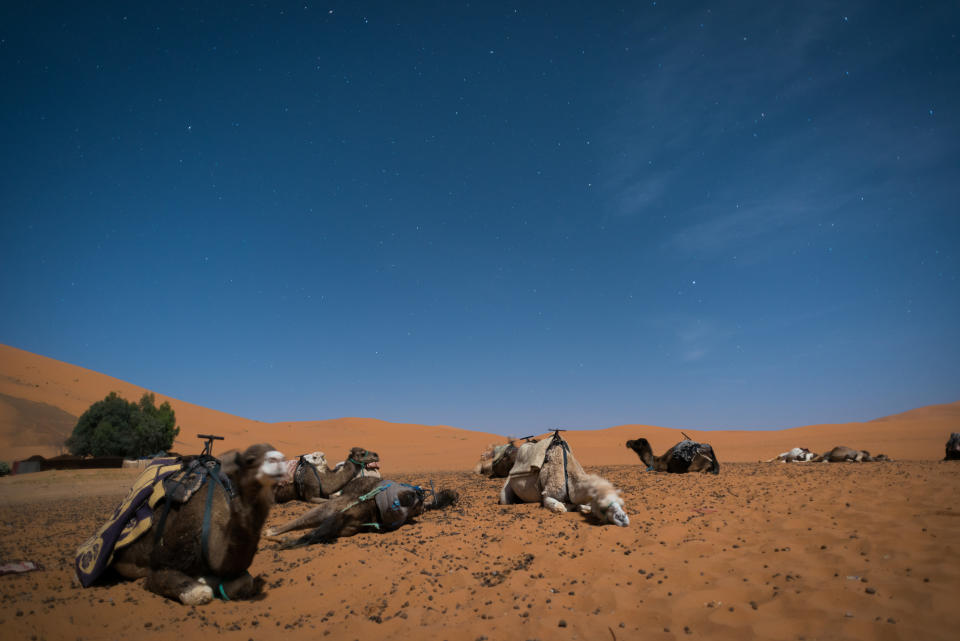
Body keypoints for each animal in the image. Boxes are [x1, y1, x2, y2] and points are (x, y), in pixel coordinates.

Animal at [95, 442, 286, 604]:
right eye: (250, 459)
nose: (279, 459)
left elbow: (245, 582)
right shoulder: (161, 564)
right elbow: (199, 592)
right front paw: (201, 583)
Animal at [262, 472, 458, 548]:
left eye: (418, 509)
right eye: (412, 495)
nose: (417, 495)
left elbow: (314, 535)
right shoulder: (339, 512)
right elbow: (311, 534)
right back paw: (272, 532)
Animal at [498, 430, 628, 524]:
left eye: (621, 503)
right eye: (602, 507)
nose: (623, 519)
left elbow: (585, 506)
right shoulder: (548, 494)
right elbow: (561, 508)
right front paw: (567, 506)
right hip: (506, 490)